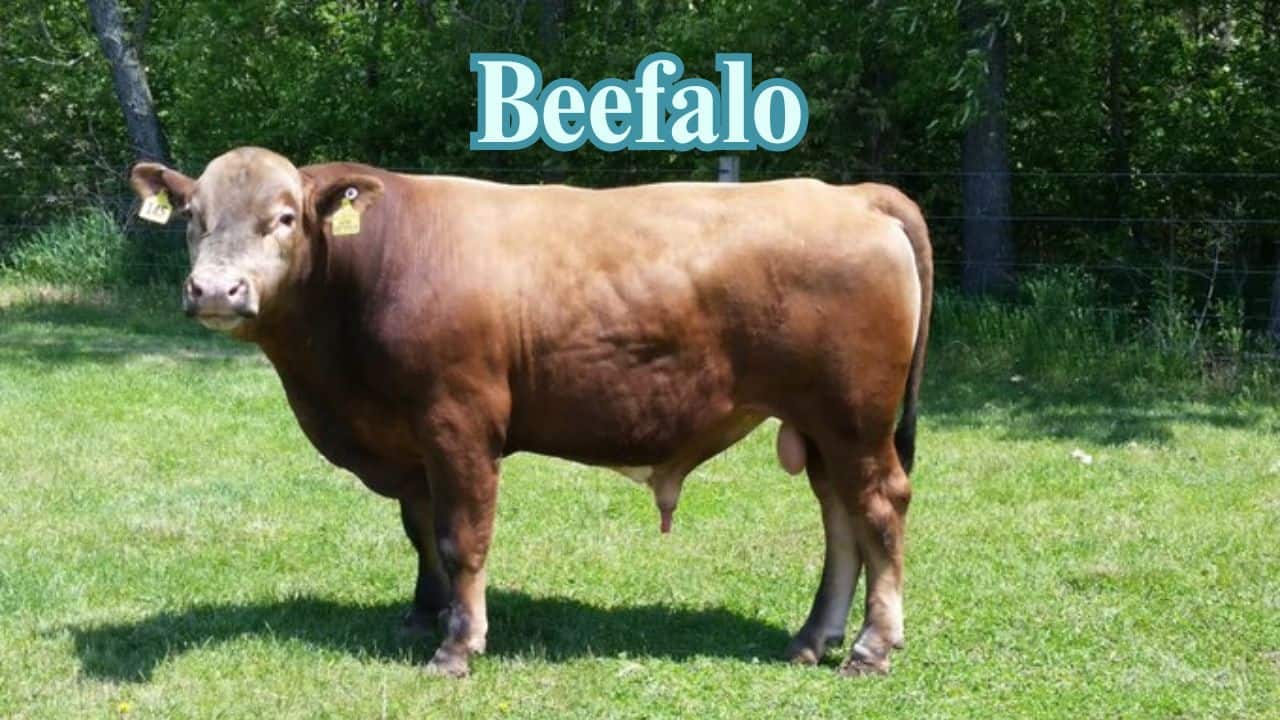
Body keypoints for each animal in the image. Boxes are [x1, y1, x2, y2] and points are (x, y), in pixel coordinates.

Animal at [129, 147, 932, 678]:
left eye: (286, 217)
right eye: (192, 217)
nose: (215, 290)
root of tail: (852, 194)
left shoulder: (458, 421)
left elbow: (462, 537)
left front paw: (457, 647)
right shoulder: (410, 441)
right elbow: (420, 531)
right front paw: (423, 614)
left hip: (855, 419)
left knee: (880, 509)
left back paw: (872, 647)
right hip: (822, 427)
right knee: (841, 520)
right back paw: (812, 638)